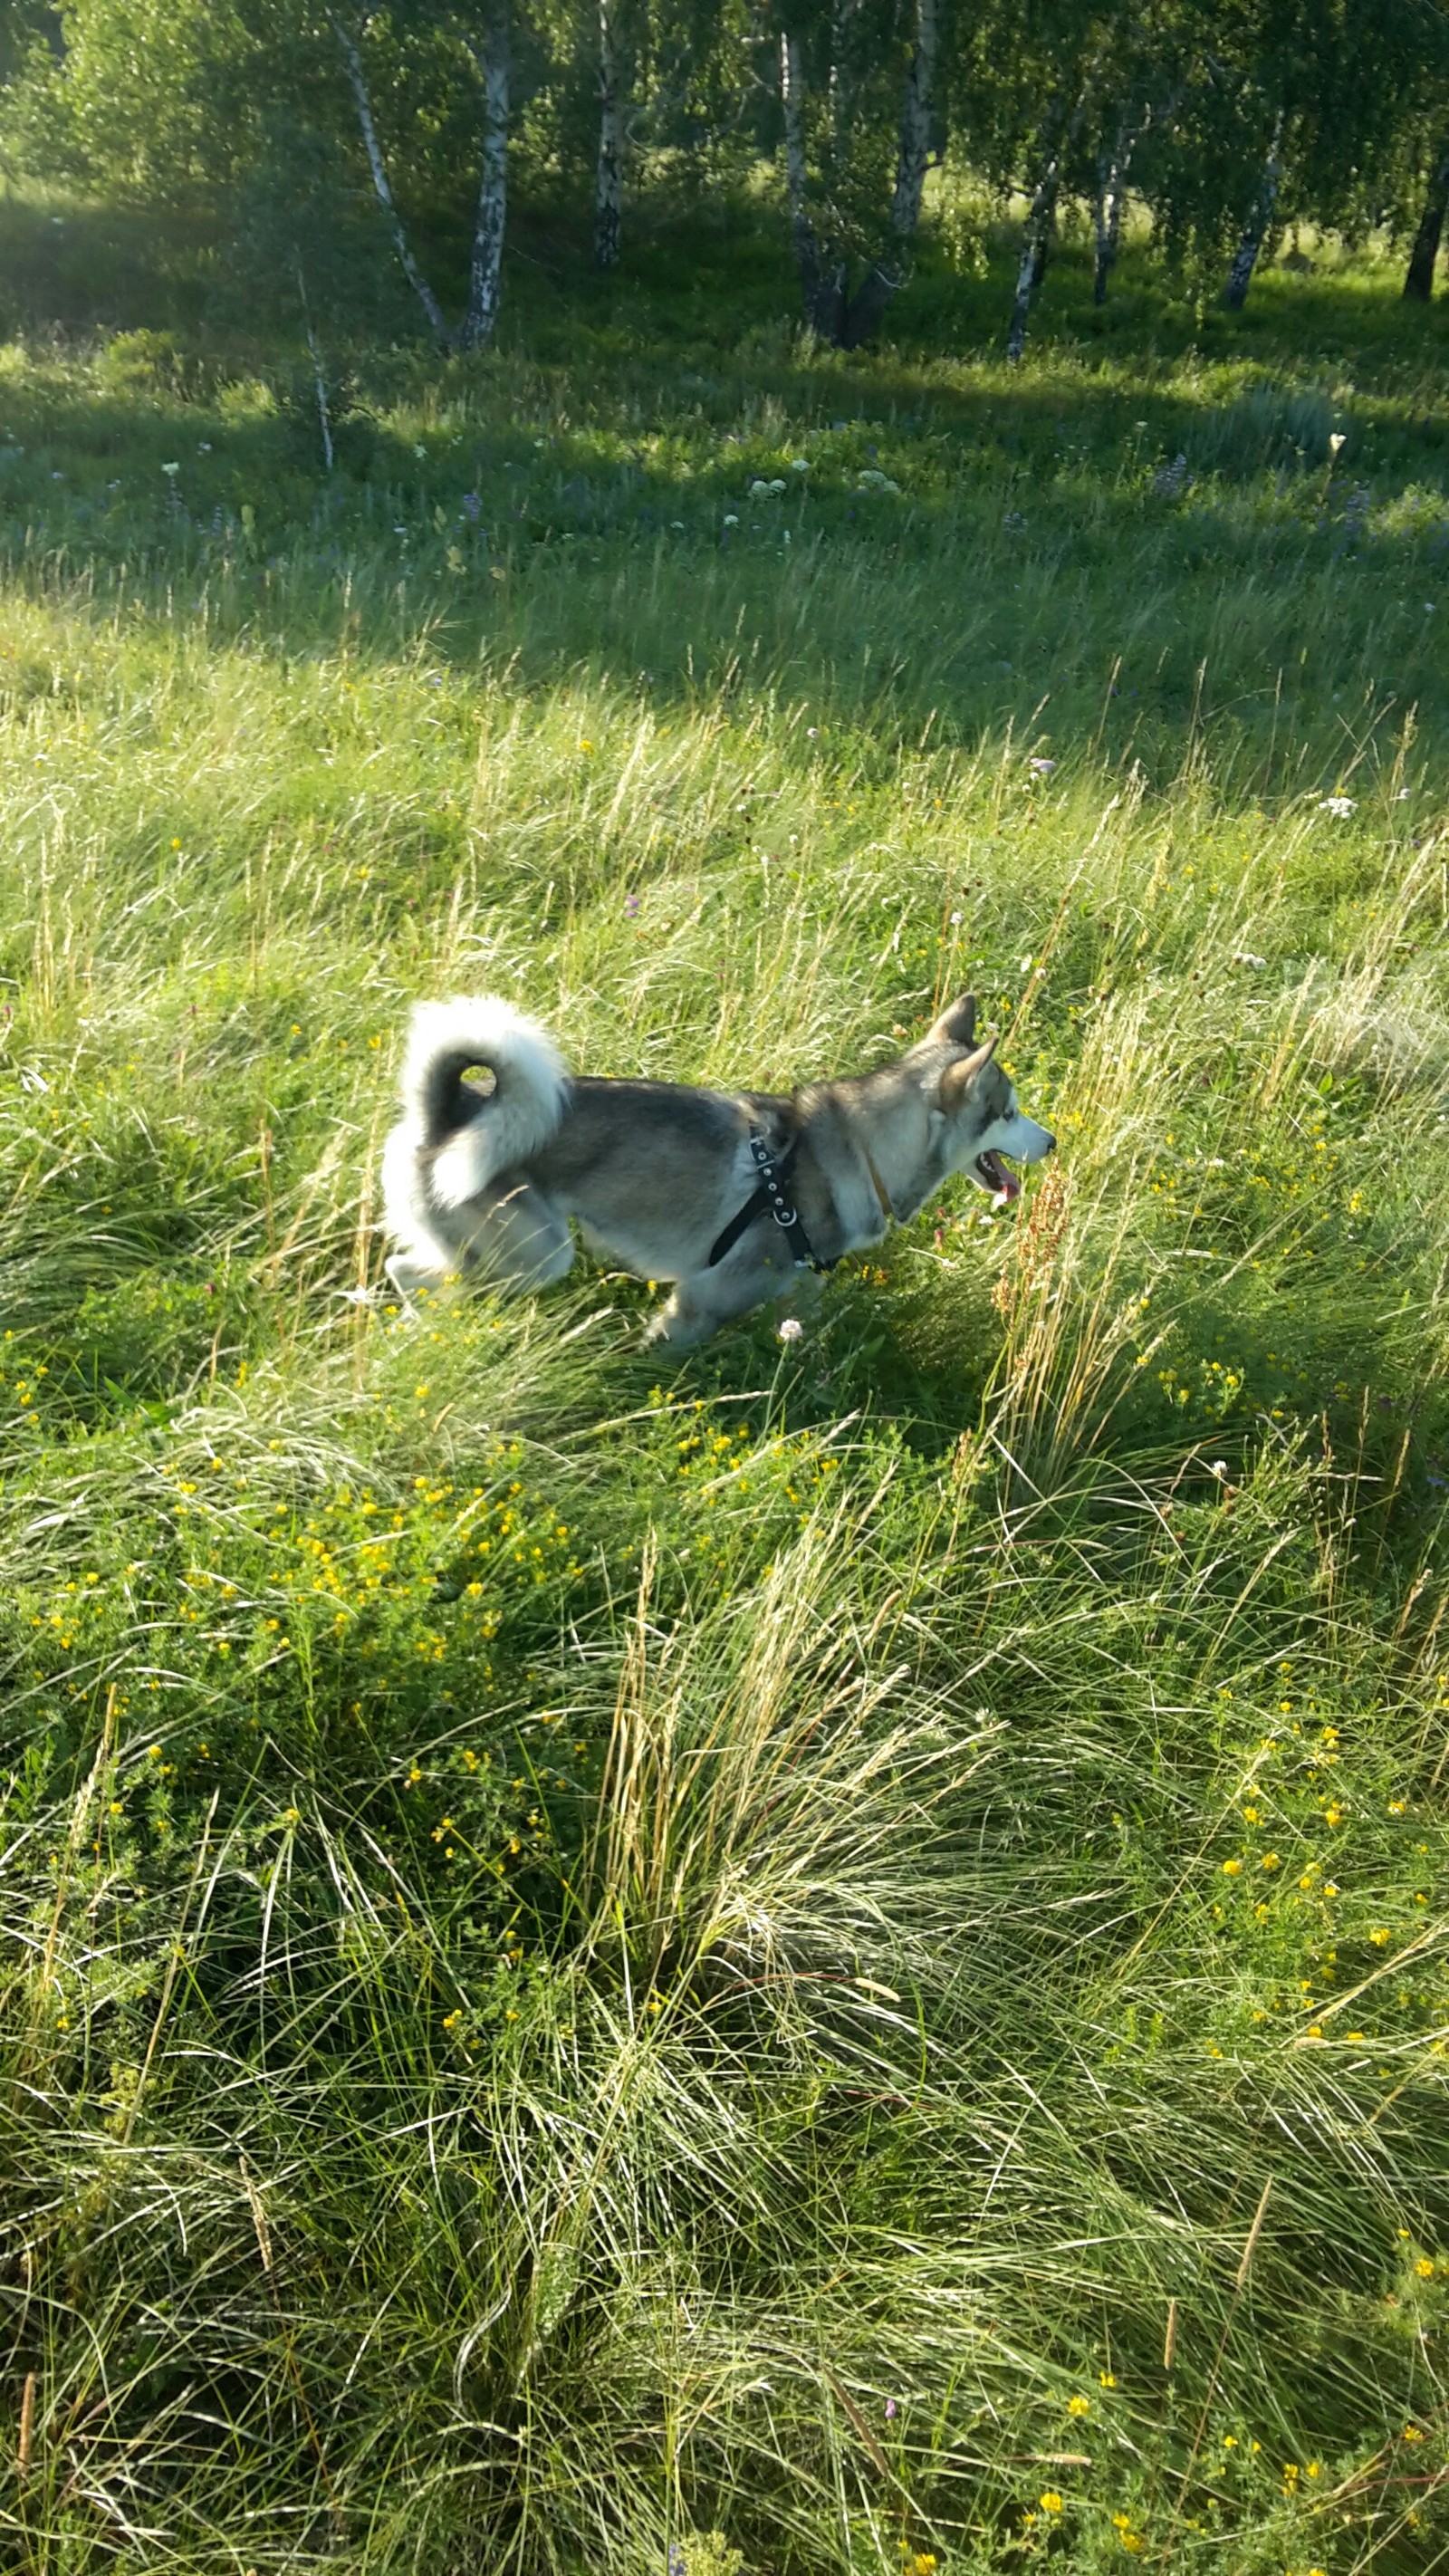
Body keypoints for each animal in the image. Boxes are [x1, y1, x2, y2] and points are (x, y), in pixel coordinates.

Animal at [383, 989, 1055, 1350]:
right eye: (1009, 1113)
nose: (1051, 1142)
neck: (861, 1149)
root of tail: (449, 1112)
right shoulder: (700, 1302)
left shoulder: (797, 1297)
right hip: (538, 1256)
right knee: (423, 1276)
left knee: (409, 1272)